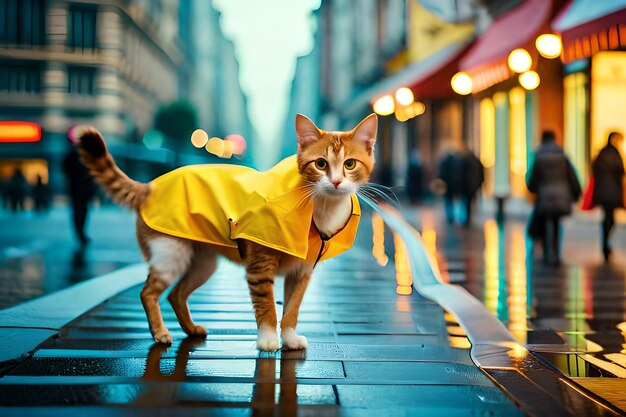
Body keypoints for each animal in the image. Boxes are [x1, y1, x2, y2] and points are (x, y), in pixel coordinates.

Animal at [73, 113, 376, 352]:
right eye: (320, 164)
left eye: (349, 164)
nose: (336, 182)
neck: (319, 207)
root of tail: (150, 187)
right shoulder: (259, 266)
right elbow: (267, 305)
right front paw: (268, 340)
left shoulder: (301, 272)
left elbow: (292, 309)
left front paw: (289, 338)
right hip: (170, 254)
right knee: (148, 293)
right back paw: (160, 332)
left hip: (203, 263)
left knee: (176, 295)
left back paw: (191, 329)